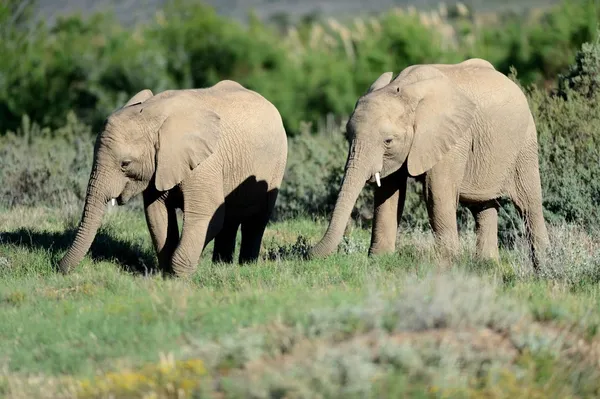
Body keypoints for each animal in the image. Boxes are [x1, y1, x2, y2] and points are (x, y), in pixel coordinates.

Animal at [59, 79, 290, 276]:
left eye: (125, 164)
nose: (58, 266)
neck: (152, 114)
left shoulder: (206, 163)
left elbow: (205, 215)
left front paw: (179, 277)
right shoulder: (159, 165)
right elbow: (157, 214)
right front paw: (166, 275)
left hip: (276, 164)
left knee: (256, 220)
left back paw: (246, 267)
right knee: (230, 220)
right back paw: (221, 267)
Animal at [312, 58, 552, 268]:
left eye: (388, 141)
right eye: (348, 136)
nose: (308, 250)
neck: (404, 89)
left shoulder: (452, 139)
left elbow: (436, 193)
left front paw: (447, 266)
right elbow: (388, 194)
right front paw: (379, 261)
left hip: (525, 144)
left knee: (529, 204)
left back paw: (543, 270)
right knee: (483, 207)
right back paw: (487, 266)